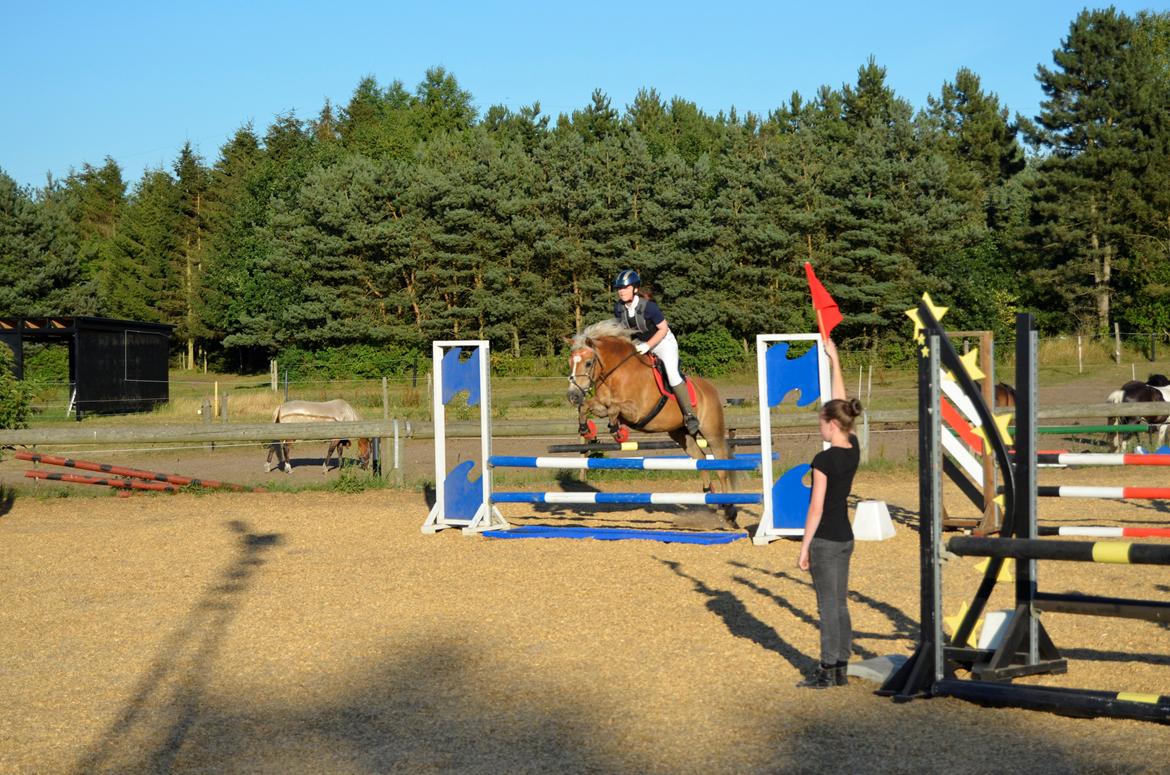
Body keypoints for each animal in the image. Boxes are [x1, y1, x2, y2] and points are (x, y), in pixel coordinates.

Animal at [561, 318, 734, 531]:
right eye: (570, 363)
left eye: (588, 363)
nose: (572, 396)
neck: (617, 373)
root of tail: (711, 389)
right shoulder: (601, 405)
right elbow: (588, 407)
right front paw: (586, 429)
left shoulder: (637, 412)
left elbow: (615, 409)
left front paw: (618, 432)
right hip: (681, 434)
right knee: (700, 459)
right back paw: (710, 501)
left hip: (712, 432)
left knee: (722, 465)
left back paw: (730, 512)